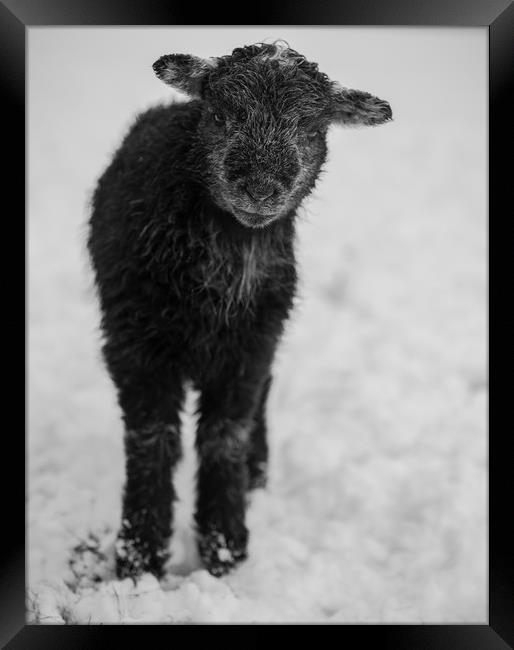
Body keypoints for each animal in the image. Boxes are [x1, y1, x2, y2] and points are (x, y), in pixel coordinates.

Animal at [87, 41, 392, 576]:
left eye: (313, 129)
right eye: (221, 114)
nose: (261, 187)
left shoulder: (248, 348)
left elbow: (224, 435)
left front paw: (224, 545)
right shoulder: (135, 345)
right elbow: (152, 439)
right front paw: (139, 555)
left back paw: (257, 473)